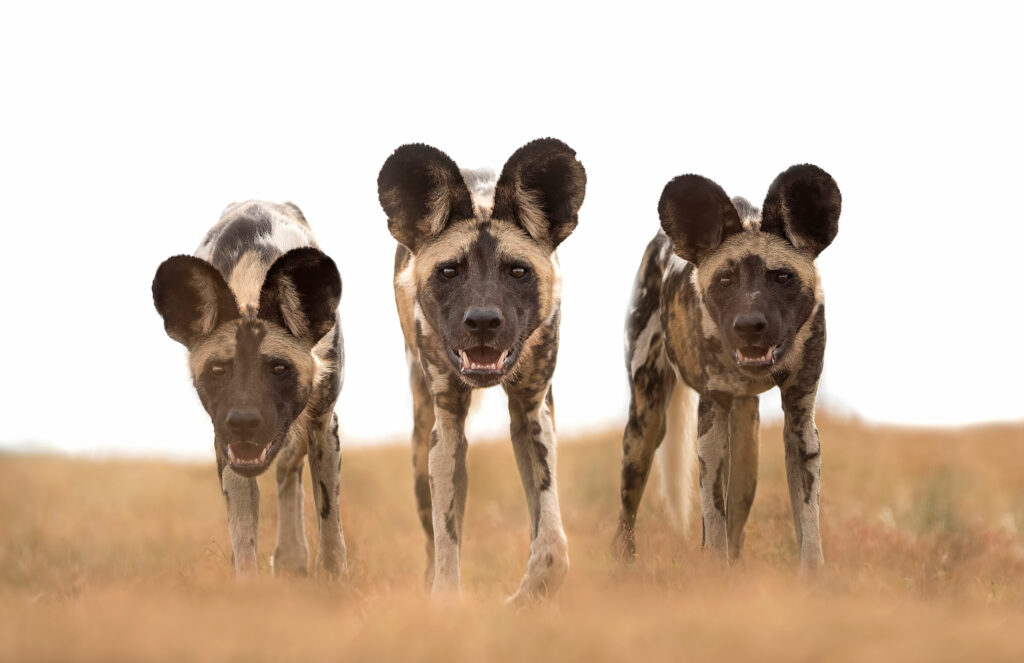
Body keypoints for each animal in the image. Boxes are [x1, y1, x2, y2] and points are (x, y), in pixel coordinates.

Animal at [153, 201, 348, 582]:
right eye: (218, 370)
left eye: (279, 369)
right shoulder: (227, 443)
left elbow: (329, 515)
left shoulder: (322, 424)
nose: (243, 421)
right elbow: (243, 534)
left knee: (289, 471)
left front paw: (334, 579)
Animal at [376, 137, 585, 602]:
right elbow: (446, 543)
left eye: (518, 271)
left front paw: (523, 602)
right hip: (421, 439)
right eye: (449, 271)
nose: (484, 321)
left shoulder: (532, 416)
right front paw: (448, 605)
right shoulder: (447, 430)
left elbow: (552, 549)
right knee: (431, 536)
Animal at [614, 166, 839, 569]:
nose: (749, 325)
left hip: (747, 437)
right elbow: (713, 514)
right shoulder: (712, 410)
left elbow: (806, 519)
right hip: (645, 425)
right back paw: (623, 565)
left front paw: (813, 577)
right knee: (627, 511)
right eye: (725, 280)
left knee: (738, 514)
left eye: (782, 277)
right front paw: (715, 575)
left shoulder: (800, 420)